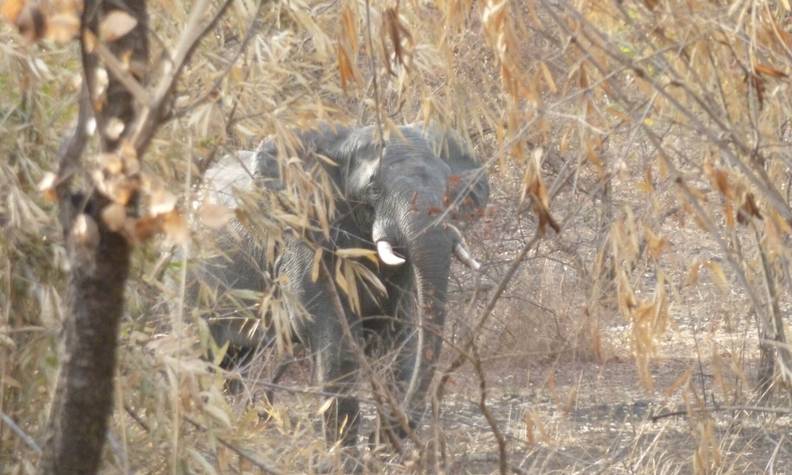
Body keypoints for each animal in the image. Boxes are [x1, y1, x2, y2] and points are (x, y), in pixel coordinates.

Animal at [189, 121, 488, 448]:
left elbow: (399, 336)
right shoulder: (306, 240)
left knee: (234, 361)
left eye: (450, 192)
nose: (375, 439)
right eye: (373, 188)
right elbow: (334, 345)